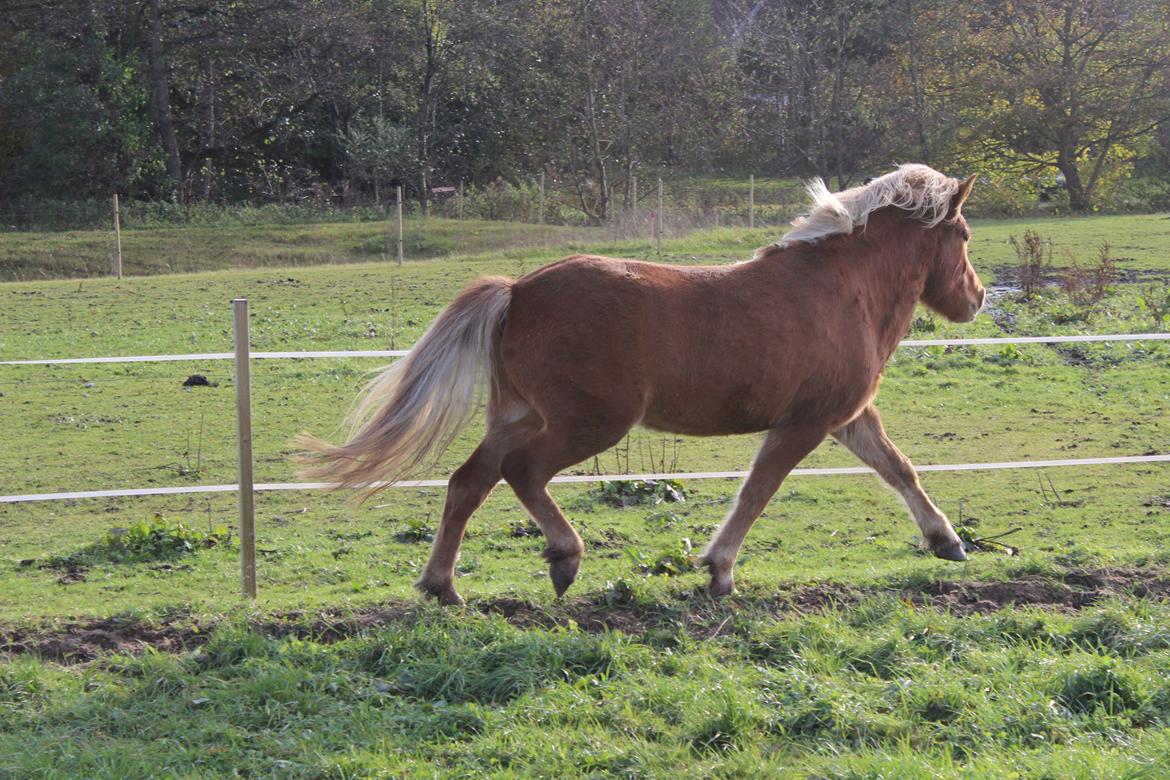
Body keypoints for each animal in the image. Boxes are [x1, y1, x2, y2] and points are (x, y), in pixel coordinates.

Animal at [299, 164, 987, 603]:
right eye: (964, 234)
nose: (976, 299)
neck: (843, 289)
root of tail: (517, 291)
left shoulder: (848, 418)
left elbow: (899, 469)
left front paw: (947, 541)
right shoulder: (807, 423)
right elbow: (758, 491)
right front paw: (718, 571)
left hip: (521, 416)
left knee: (470, 481)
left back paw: (442, 585)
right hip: (589, 423)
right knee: (522, 472)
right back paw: (564, 558)